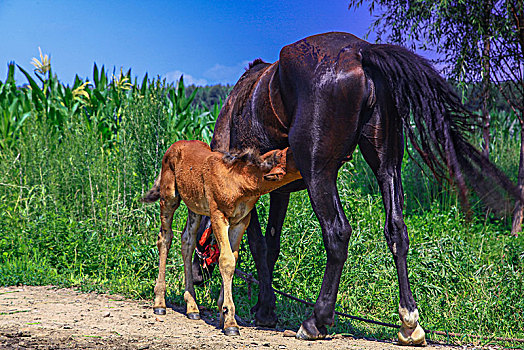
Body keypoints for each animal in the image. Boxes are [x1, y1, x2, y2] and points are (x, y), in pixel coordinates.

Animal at [190, 32, 516, 344]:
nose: (194, 276)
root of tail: (361, 52)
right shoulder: (278, 192)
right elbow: (271, 244)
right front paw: (263, 306)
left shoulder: (249, 193)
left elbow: (257, 244)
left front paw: (263, 308)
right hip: (387, 166)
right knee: (397, 231)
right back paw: (409, 321)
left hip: (319, 172)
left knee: (337, 233)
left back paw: (316, 320)